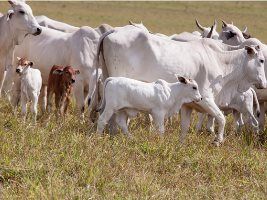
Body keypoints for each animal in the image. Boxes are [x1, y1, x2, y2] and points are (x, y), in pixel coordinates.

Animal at [94, 26, 267, 145]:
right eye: (261, 60)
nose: (264, 84)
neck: (220, 60)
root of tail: (114, 30)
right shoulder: (206, 99)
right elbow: (221, 118)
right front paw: (218, 140)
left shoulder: (188, 105)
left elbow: (185, 127)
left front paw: (181, 144)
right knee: (112, 117)